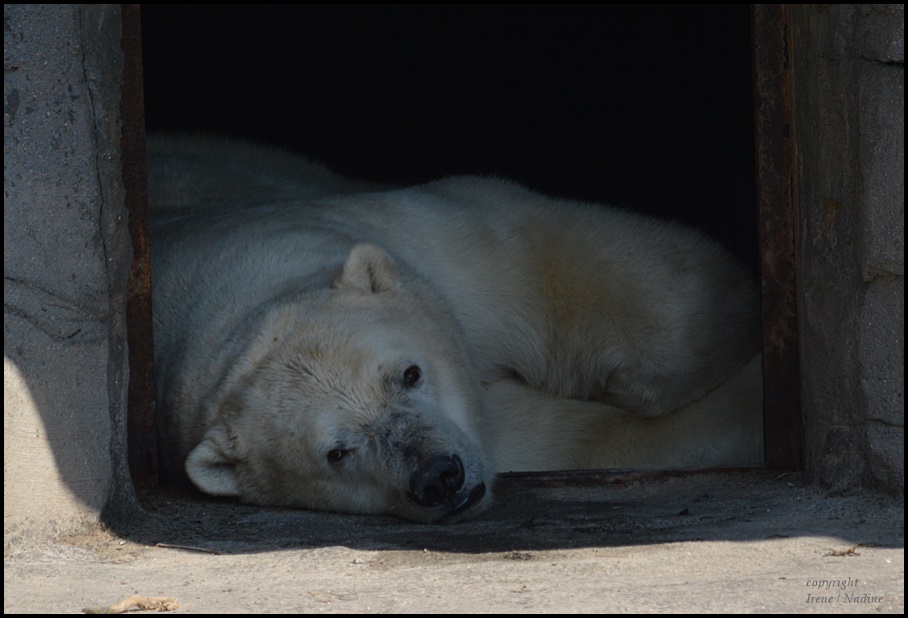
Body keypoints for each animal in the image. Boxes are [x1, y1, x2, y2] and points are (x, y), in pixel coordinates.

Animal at [151, 137, 768, 524]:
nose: (439, 477)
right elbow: (582, 435)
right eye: (336, 454)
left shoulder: (447, 250)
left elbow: (574, 262)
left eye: (409, 373)